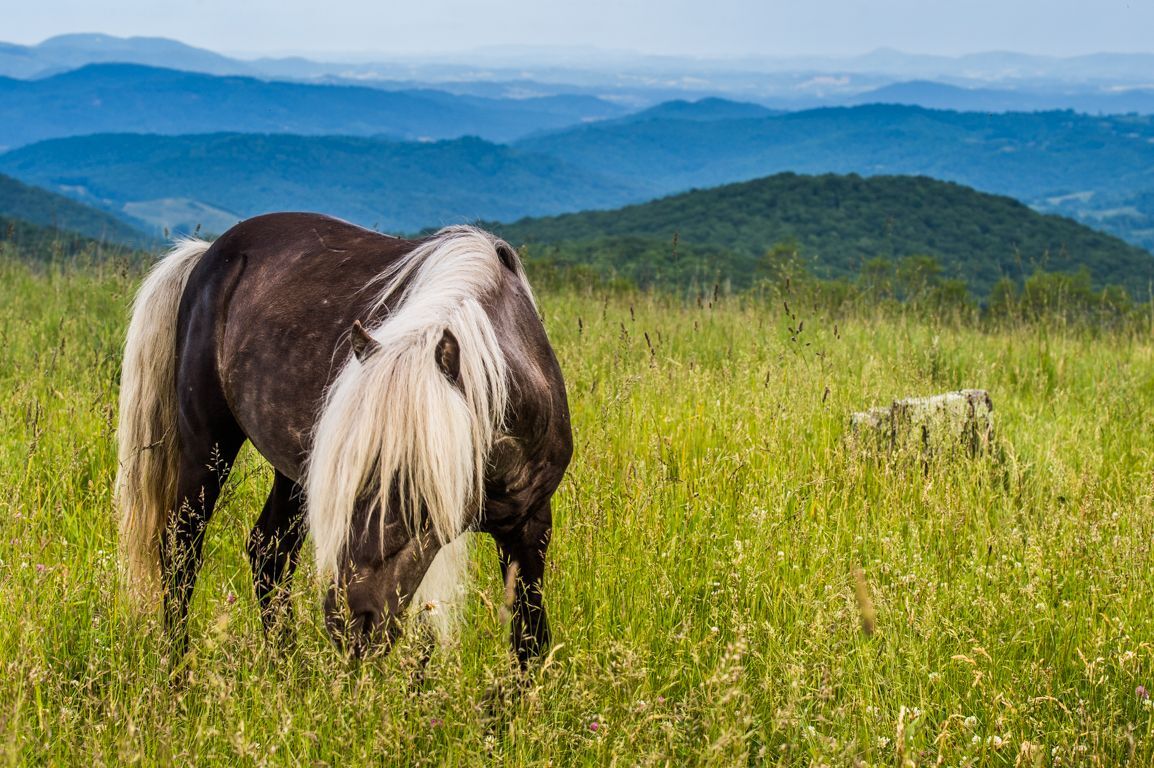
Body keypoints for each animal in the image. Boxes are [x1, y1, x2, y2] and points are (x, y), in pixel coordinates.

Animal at [112, 212, 572, 659]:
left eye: (417, 483)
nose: (352, 620)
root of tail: (209, 254)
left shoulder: (529, 529)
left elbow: (530, 640)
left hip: (290, 476)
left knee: (268, 552)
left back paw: (287, 666)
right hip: (206, 446)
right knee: (181, 550)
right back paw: (178, 667)